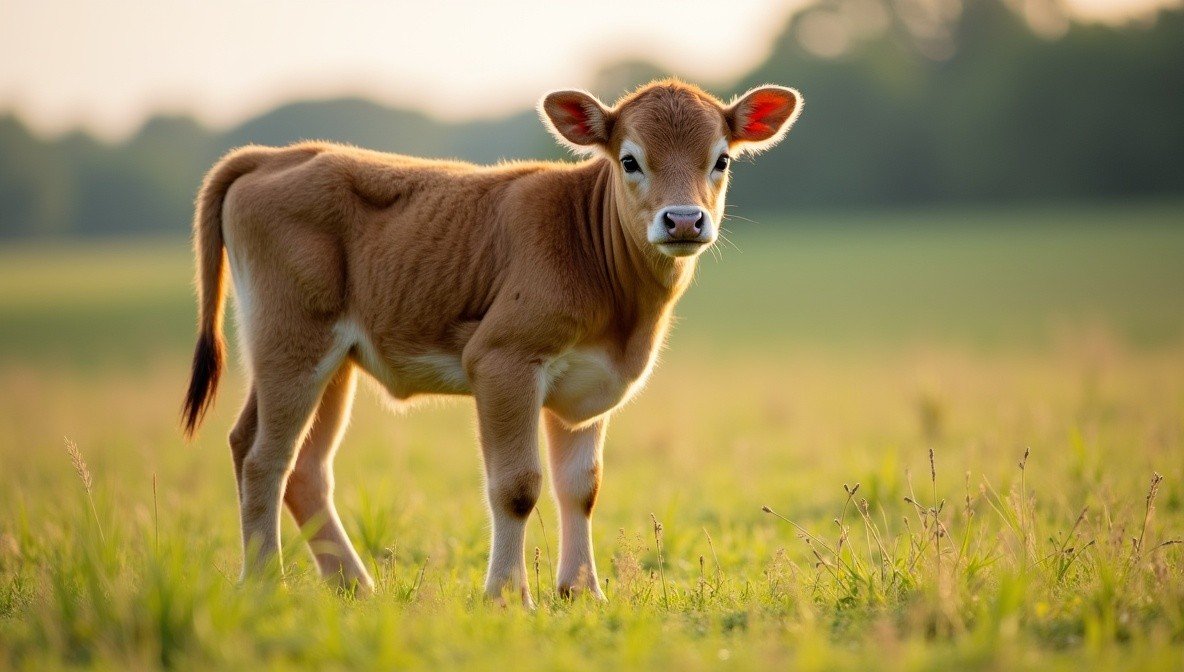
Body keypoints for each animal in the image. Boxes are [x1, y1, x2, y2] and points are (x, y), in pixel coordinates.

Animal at [181, 79, 802, 605]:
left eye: (721, 159)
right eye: (630, 160)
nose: (683, 220)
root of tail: (279, 154)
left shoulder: (589, 382)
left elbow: (581, 488)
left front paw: (583, 592)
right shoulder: (505, 361)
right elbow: (517, 487)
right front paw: (507, 596)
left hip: (331, 360)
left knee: (293, 463)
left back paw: (354, 586)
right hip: (292, 341)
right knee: (266, 459)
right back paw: (267, 583)